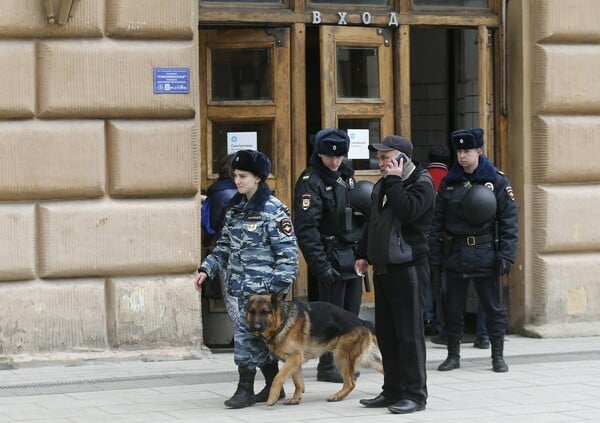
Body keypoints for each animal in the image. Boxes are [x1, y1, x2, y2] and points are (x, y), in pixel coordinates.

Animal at [245, 290, 382, 406]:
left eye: (265, 312)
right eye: (252, 311)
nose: (255, 327)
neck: (283, 321)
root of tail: (361, 321)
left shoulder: (295, 358)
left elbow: (278, 377)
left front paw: (272, 397)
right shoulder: (295, 362)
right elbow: (298, 383)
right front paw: (295, 399)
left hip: (341, 356)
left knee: (351, 383)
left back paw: (337, 396)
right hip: (365, 360)